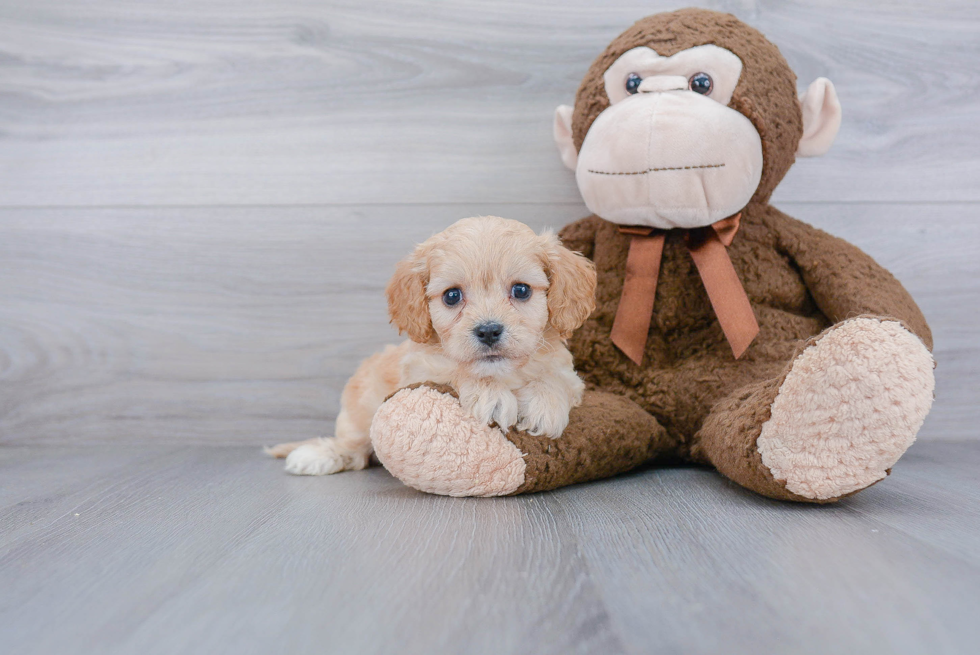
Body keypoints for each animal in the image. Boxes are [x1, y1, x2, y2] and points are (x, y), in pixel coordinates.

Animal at [268, 215, 596, 476]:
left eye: (521, 290)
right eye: (452, 296)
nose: (489, 331)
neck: (504, 373)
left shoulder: (570, 376)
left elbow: (553, 380)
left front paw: (544, 405)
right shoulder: (419, 373)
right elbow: (457, 371)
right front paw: (490, 395)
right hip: (359, 411)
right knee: (354, 447)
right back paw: (317, 455)